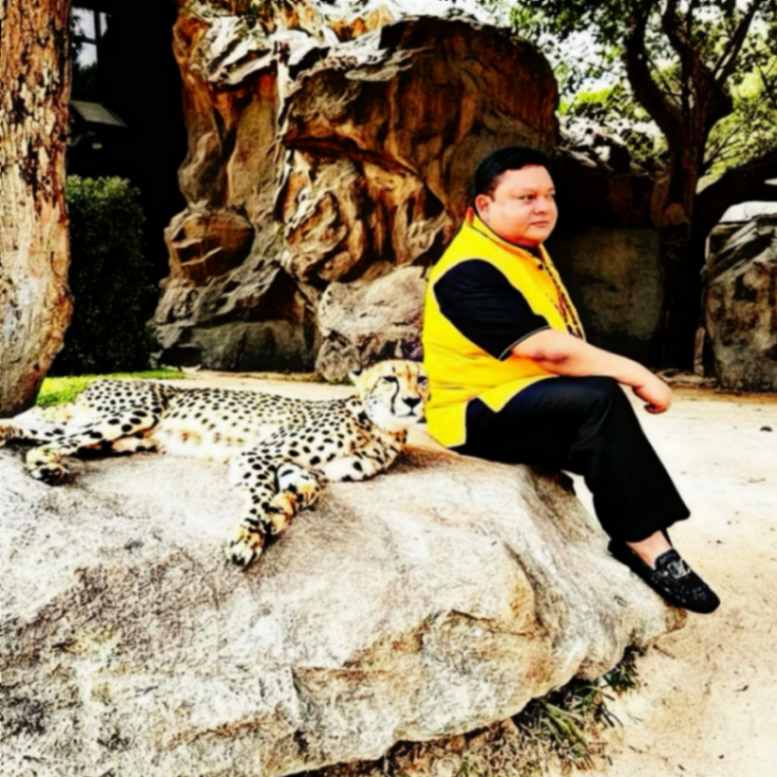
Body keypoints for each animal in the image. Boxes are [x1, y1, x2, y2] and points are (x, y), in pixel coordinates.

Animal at [0, 360, 428, 567]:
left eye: (421, 379)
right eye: (390, 379)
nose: (412, 401)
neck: (381, 429)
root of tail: (95, 382)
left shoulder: (303, 468)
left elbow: (303, 490)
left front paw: (277, 515)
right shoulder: (258, 453)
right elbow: (260, 497)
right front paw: (249, 537)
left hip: (122, 433)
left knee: (42, 426)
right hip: (137, 412)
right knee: (50, 439)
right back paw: (46, 465)